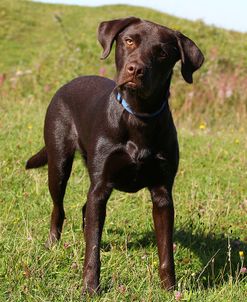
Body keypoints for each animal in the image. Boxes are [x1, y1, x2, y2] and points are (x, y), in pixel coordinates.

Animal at [26, 17, 204, 294]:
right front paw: (90, 288)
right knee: (59, 208)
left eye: (162, 52)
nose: (135, 70)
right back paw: (52, 243)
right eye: (129, 40)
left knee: (84, 209)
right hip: (59, 164)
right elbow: (93, 250)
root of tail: (66, 85)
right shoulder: (101, 186)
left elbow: (166, 252)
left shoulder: (163, 194)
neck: (139, 117)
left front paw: (170, 289)